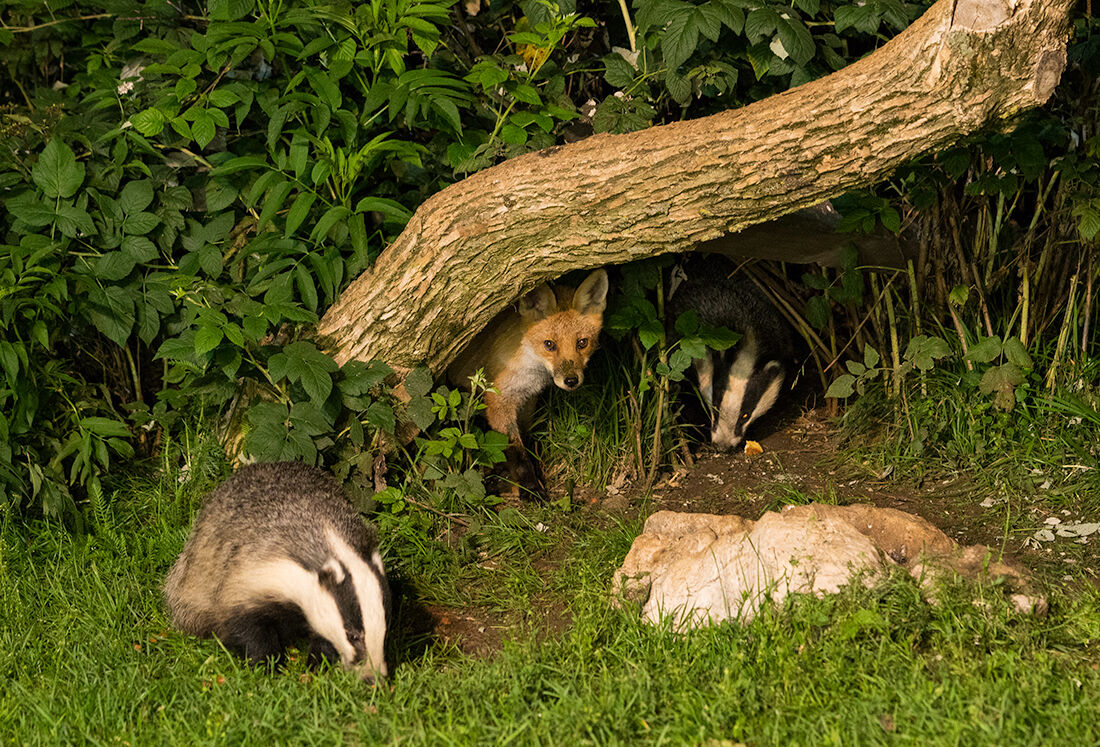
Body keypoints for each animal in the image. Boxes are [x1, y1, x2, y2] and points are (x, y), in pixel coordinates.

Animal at [447, 269, 609, 500]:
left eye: (582, 343)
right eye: (549, 345)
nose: (571, 381)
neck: (530, 371)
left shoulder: (527, 400)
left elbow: (527, 440)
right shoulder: (498, 400)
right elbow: (518, 453)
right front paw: (531, 489)